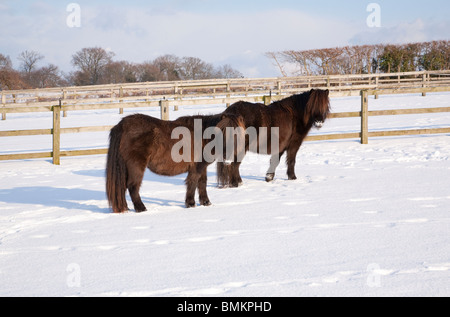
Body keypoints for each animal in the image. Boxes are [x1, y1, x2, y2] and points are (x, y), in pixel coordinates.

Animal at [107, 111, 244, 212]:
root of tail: (122, 125)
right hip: (136, 166)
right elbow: (193, 183)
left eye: (237, 133)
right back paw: (141, 208)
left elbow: (202, 183)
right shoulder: (196, 168)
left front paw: (206, 202)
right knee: (133, 186)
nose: (228, 155)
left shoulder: (202, 167)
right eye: (222, 131)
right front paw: (191, 203)